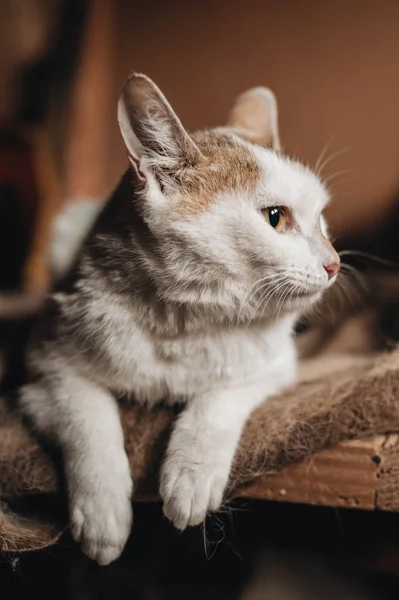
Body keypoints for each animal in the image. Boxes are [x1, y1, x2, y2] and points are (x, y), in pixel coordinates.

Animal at [19, 72, 340, 564]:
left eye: (321, 219)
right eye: (275, 217)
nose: (334, 263)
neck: (185, 324)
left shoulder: (276, 364)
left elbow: (219, 399)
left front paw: (191, 474)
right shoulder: (45, 360)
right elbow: (86, 417)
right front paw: (102, 510)